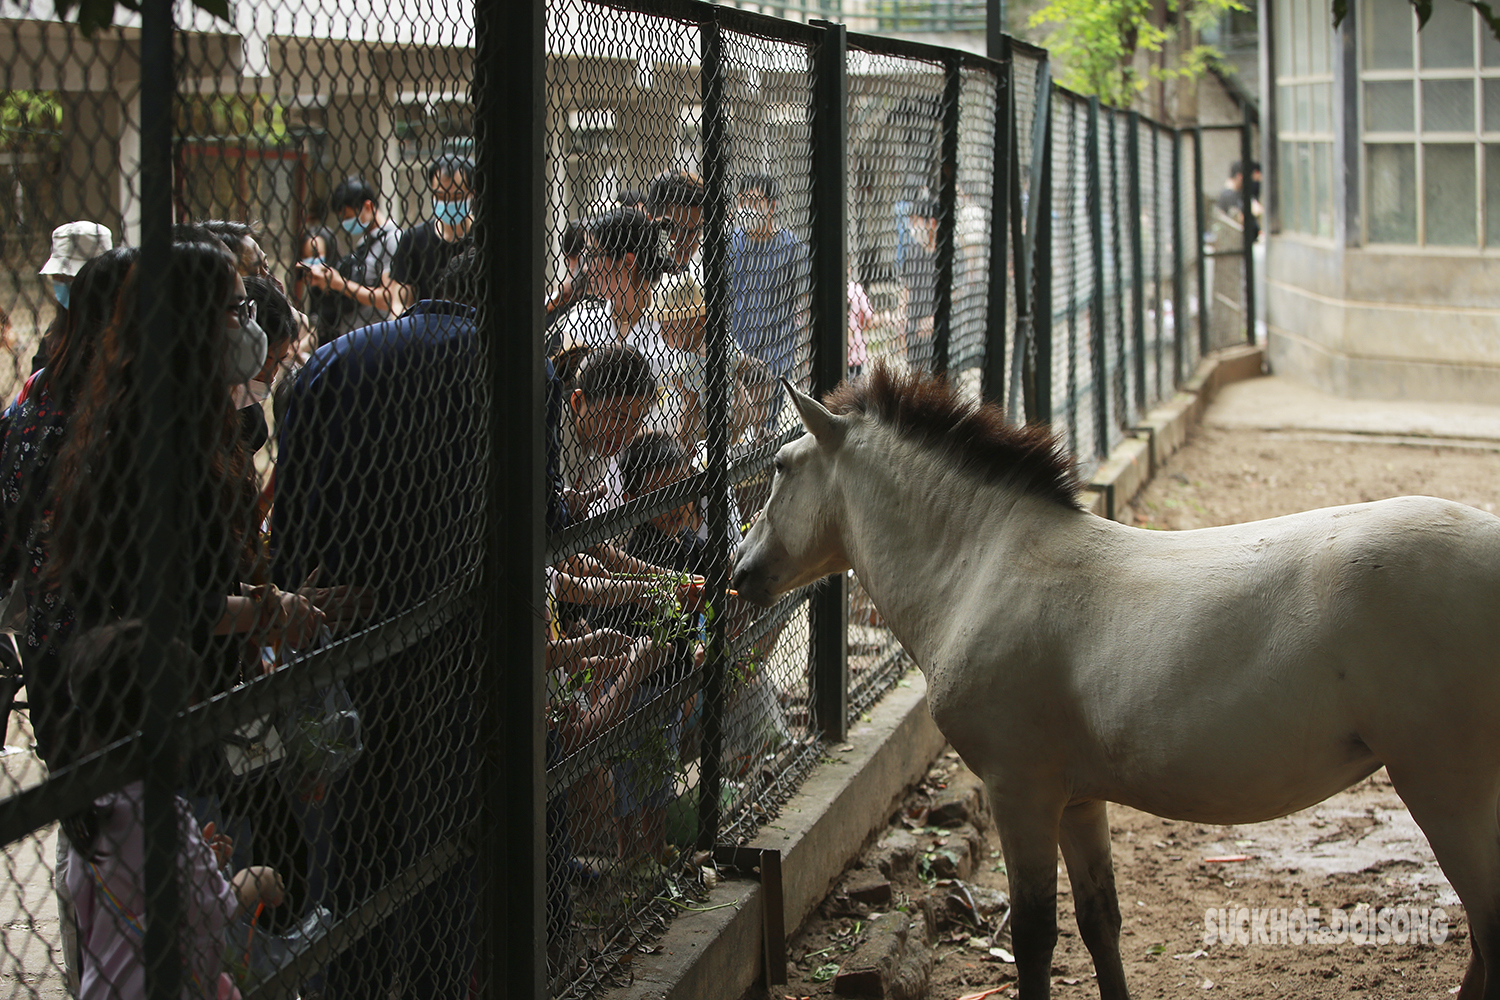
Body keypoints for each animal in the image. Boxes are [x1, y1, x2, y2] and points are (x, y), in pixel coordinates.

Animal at [732, 359, 1500, 1000]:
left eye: (780, 466)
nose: (741, 572)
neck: (985, 567)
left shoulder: (1020, 791)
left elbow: (1034, 935)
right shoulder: (1078, 800)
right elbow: (1100, 919)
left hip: (1446, 791)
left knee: (1489, 934)